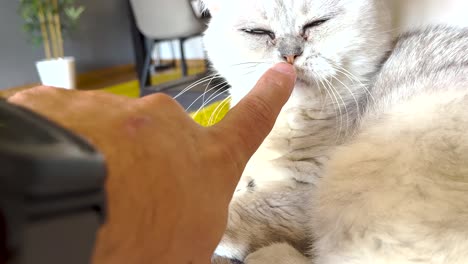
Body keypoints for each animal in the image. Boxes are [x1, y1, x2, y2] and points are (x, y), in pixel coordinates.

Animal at [202, 0, 468, 264]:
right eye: (257, 32)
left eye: (317, 23)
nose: (289, 55)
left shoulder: (301, 191)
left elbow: (242, 209)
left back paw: (268, 255)